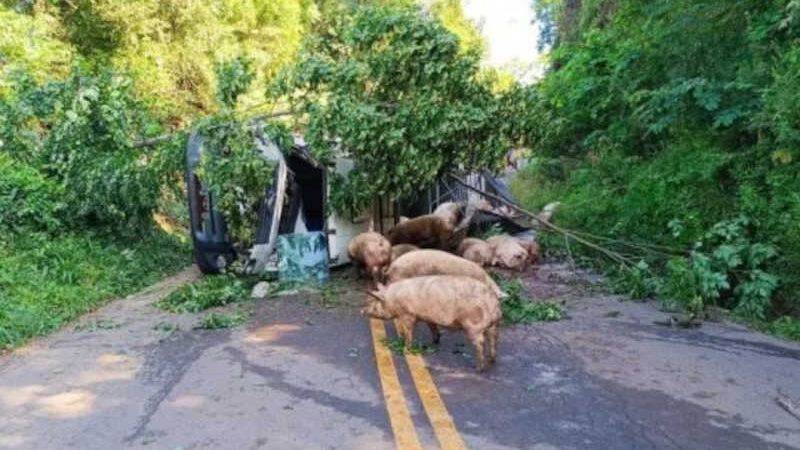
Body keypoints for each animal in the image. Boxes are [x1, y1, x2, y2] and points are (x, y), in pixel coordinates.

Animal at [362, 276, 500, 370]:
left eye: (377, 303)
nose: (362, 311)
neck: (393, 298)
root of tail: (493, 301)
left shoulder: (407, 315)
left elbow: (408, 331)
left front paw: (406, 348)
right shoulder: (428, 317)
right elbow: (432, 327)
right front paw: (435, 341)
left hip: (473, 325)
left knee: (481, 342)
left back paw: (478, 367)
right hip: (493, 325)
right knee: (493, 339)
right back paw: (492, 360)